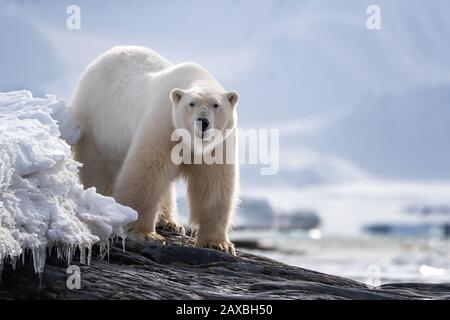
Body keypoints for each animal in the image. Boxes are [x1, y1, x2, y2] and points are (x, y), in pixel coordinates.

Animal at [71, 45, 239, 255]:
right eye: (191, 104)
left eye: (216, 105)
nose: (203, 122)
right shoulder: (164, 123)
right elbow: (146, 171)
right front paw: (143, 233)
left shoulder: (218, 144)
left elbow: (214, 184)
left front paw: (218, 244)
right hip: (96, 128)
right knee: (99, 172)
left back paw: (169, 222)